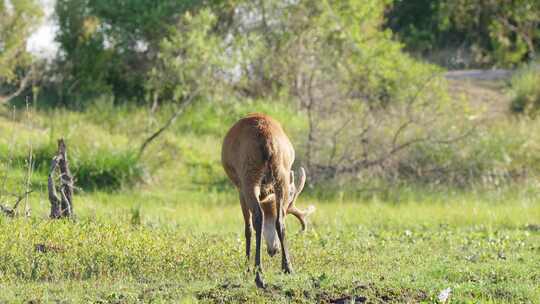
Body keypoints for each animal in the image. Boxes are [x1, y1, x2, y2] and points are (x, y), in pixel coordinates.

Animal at [223, 113, 316, 288]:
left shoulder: (239, 188)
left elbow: (247, 228)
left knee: (257, 218)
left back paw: (258, 274)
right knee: (281, 220)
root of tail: (267, 141)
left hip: (248, 176)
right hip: (282, 173)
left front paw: (246, 268)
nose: (274, 250)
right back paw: (287, 267)